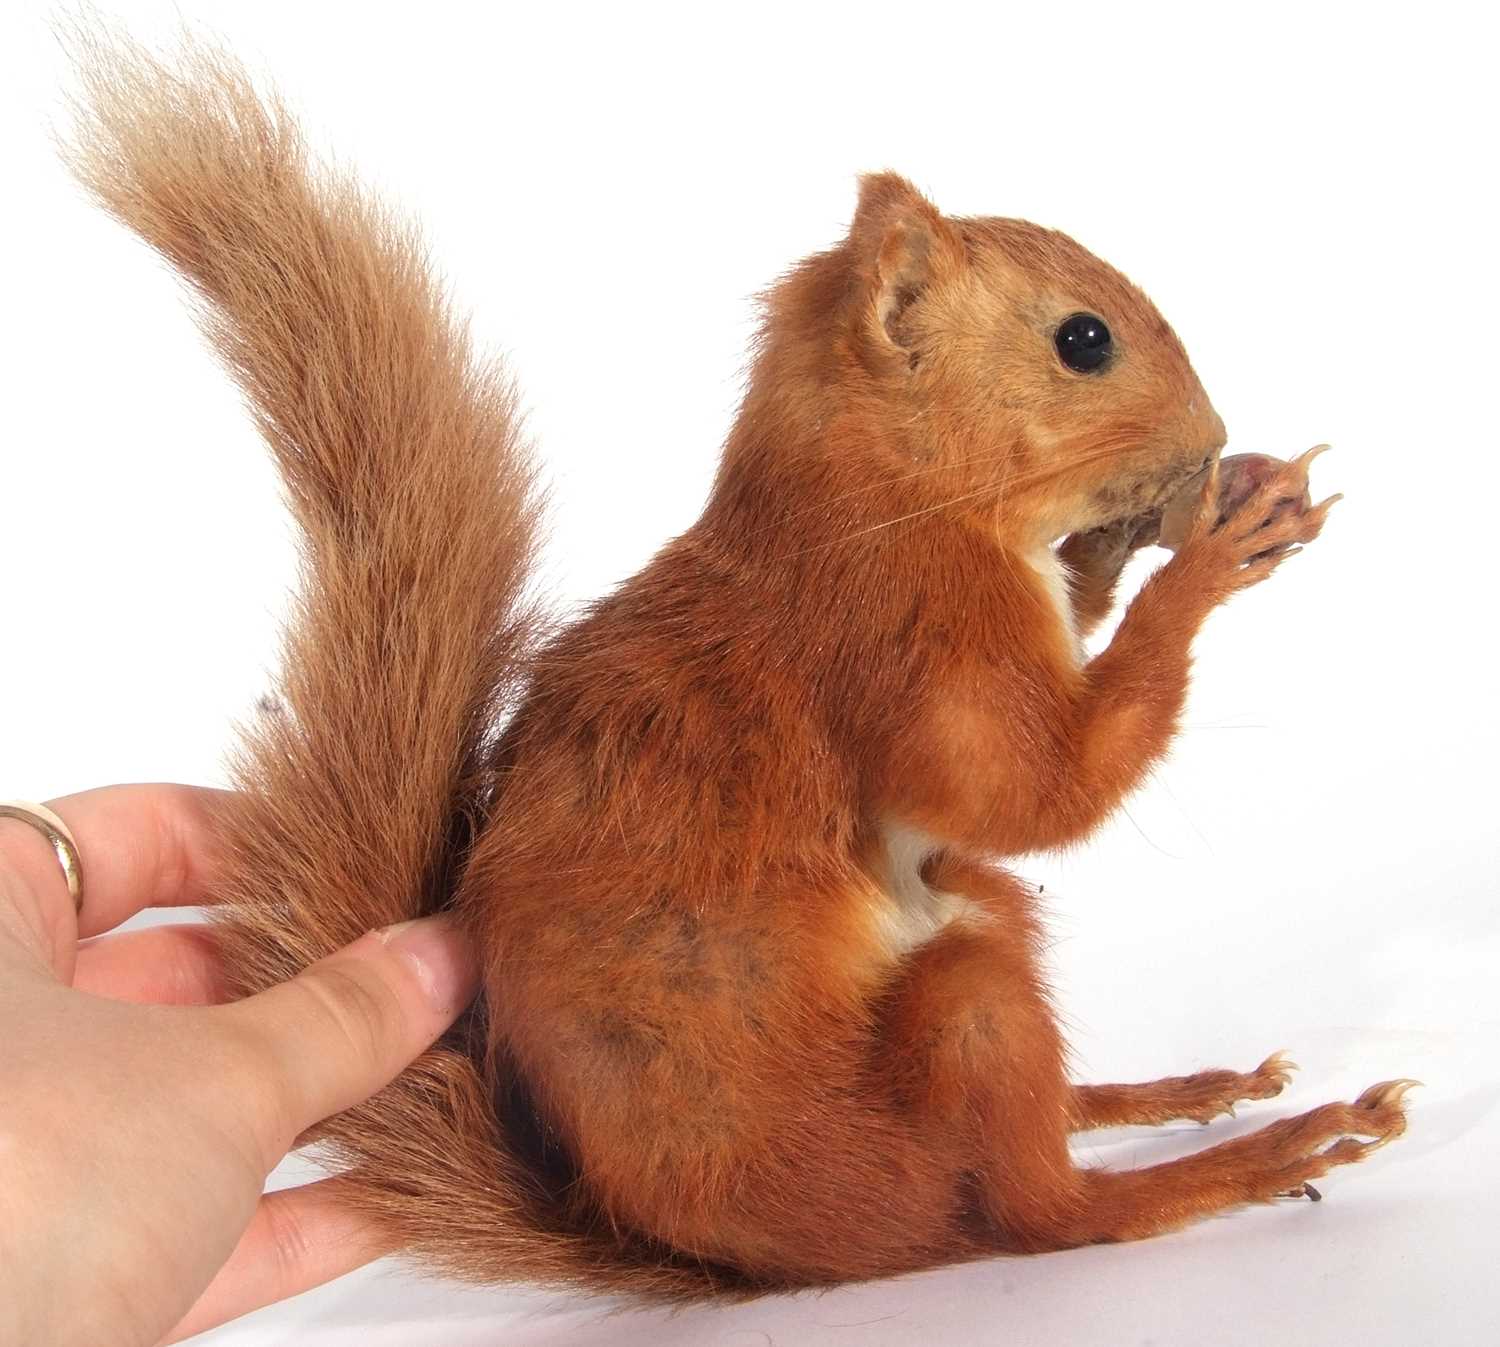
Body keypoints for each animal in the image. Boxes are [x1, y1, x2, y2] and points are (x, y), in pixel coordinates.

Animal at [61, 28, 1416, 1290]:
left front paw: (1158, 532)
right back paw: (1248, 1156)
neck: (881, 491)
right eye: (1083, 340)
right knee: (1034, 1209)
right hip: (943, 1062)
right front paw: (1208, 560)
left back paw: (1158, 1094)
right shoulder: (904, 630)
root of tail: (757, 1256)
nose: (1212, 443)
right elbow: (1027, 790)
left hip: (977, 916)